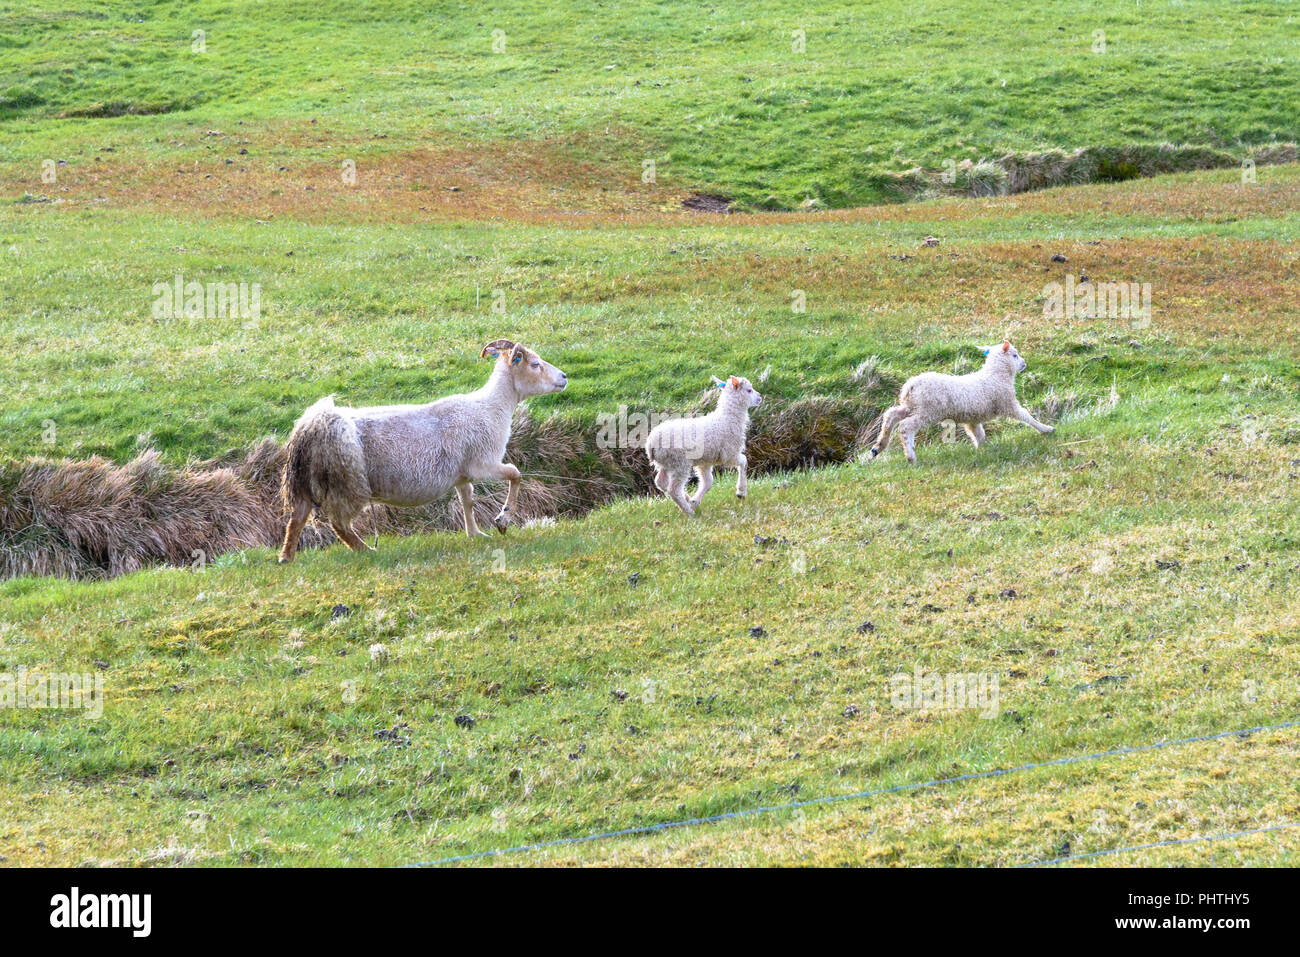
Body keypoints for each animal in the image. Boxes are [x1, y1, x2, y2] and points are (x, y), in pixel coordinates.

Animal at [277, 338, 567, 563]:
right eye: (535, 364)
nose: (564, 377)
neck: (492, 407)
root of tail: (314, 424)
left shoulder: (462, 473)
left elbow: (467, 500)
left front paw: (475, 533)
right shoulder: (482, 463)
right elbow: (515, 474)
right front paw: (503, 519)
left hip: (306, 480)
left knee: (297, 517)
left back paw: (286, 557)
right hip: (347, 480)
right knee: (338, 522)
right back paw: (366, 550)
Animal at [645, 375, 762, 515]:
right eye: (749, 390)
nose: (760, 397)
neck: (727, 418)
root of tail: (651, 442)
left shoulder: (705, 461)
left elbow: (708, 482)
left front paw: (695, 501)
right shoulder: (729, 453)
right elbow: (744, 461)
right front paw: (741, 491)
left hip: (665, 463)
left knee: (661, 482)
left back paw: (687, 499)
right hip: (680, 462)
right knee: (673, 489)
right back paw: (689, 512)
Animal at [869, 340, 1053, 464]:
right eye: (1015, 355)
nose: (1024, 364)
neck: (996, 375)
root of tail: (910, 386)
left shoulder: (973, 418)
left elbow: (978, 434)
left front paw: (982, 450)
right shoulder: (1007, 402)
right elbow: (1026, 416)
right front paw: (1046, 428)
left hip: (912, 406)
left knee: (891, 415)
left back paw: (878, 446)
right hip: (928, 410)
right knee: (905, 426)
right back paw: (910, 456)